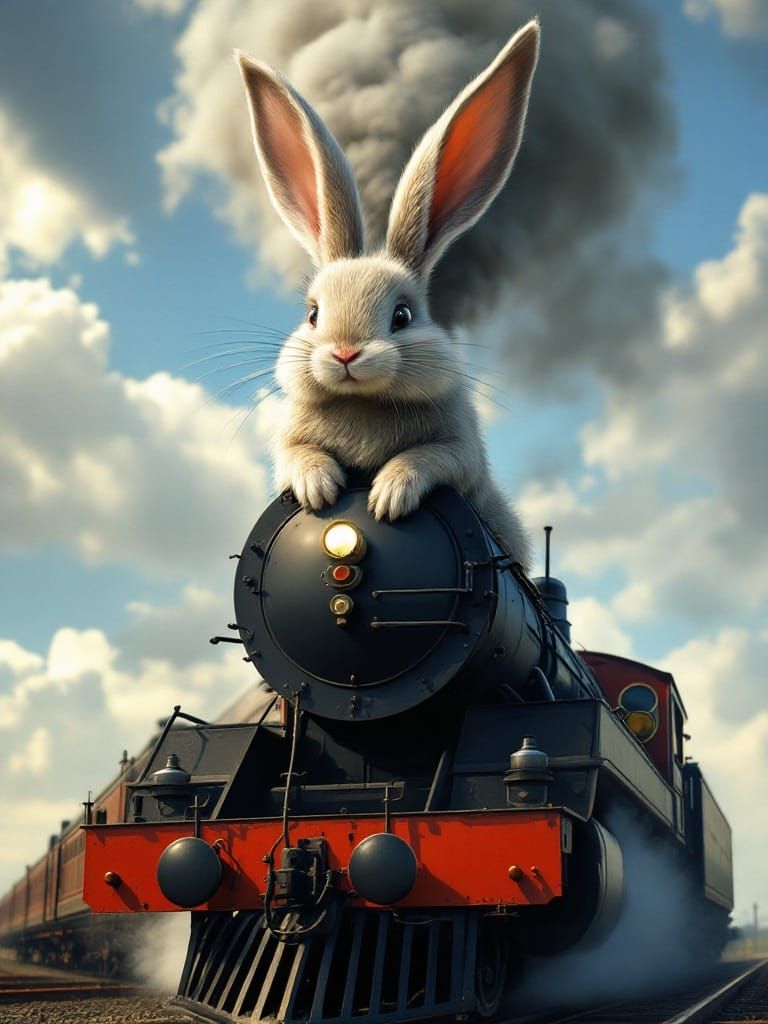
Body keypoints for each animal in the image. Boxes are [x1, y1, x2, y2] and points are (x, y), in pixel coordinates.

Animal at [236, 20, 539, 571]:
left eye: (402, 315)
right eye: (312, 314)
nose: (345, 353)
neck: (364, 405)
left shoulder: (461, 453)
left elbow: (429, 458)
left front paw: (388, 496)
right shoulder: (286, 443)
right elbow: (294, 456)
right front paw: (319, 487)